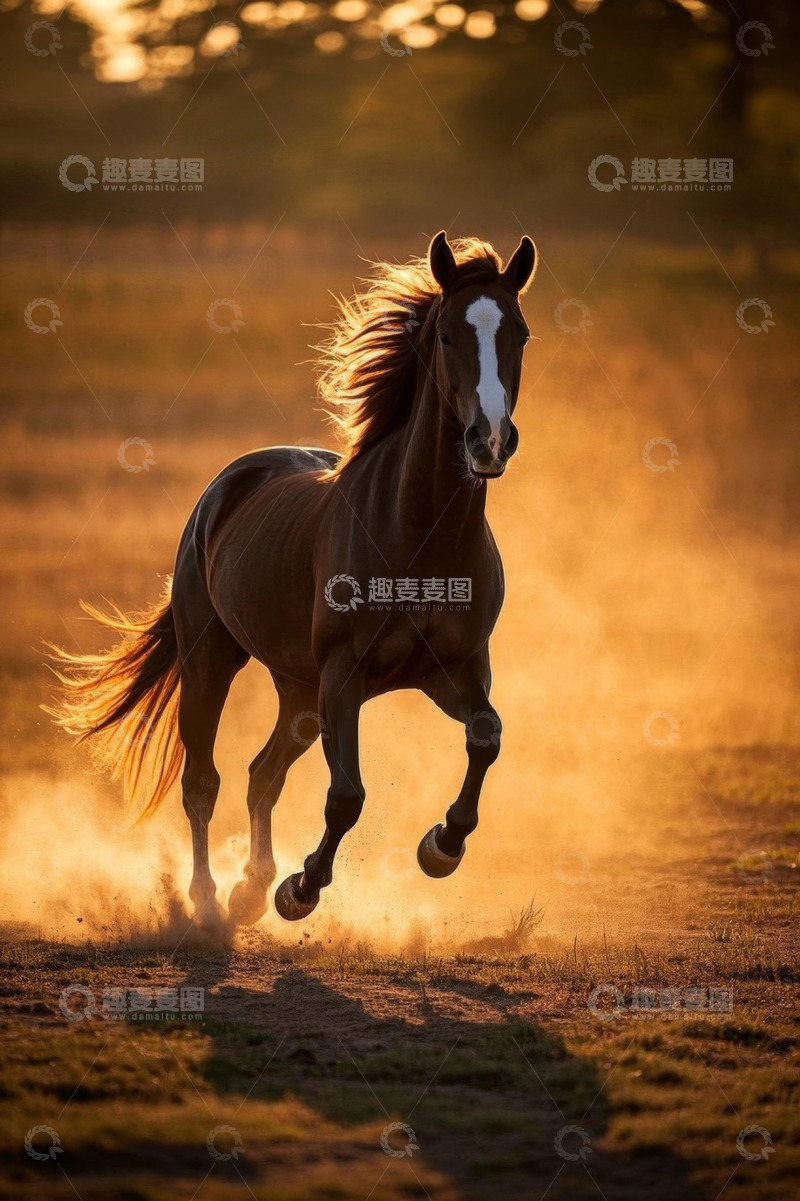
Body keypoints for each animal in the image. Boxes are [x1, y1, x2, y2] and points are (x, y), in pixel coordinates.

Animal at [47, 230, 537, 926]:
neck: (418, 539)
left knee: (262, 773)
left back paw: (251, 888)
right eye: (446, 335)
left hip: (298, 691)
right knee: (204, 781)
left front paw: (440, 847)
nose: (488, 441)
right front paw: (300, 891)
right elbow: (347, 796)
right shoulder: (343, 677)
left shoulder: (456, 670)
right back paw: (209, 900)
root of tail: (224, 488)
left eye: (520, 333)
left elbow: (486, 738)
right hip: (212, 661)